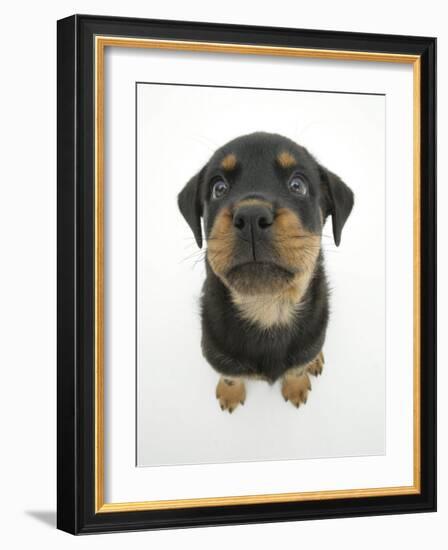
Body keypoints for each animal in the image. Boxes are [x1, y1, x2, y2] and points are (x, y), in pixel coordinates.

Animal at [178, 133, 354, 414]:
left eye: (297, 185)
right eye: (219, 188)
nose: (251, 216)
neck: (269, 307)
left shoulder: (308, 343)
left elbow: (296, 369)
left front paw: (296, 385)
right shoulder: (216, 353)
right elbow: (230, 375)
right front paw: (229, 392)